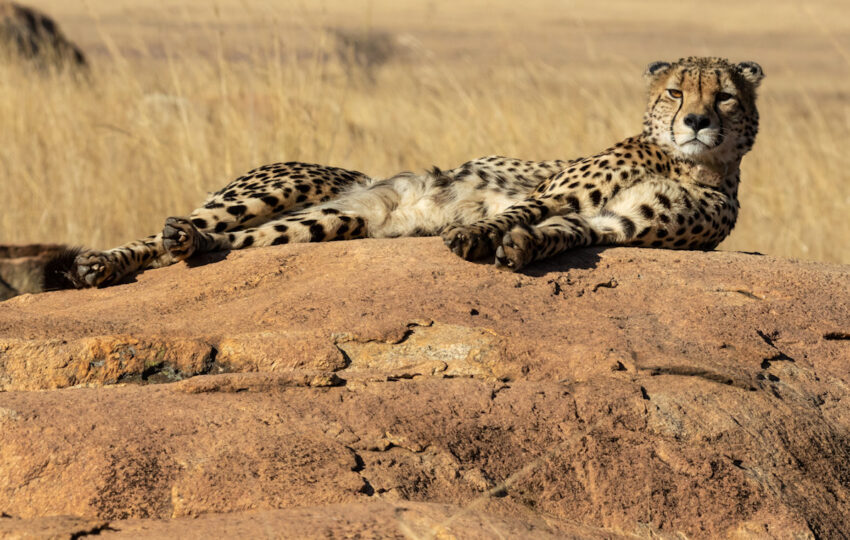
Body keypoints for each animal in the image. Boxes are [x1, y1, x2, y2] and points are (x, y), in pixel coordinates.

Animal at [46, 56, 760, 292]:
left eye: (725, 96)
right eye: (676, 91)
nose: (697, 121)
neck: (688, 164)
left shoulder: (615, 225)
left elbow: (565, 234)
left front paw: (522, 250)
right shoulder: (554, 190)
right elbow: (520, 209)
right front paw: (477, 237)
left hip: (323, 222)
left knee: (215, 243)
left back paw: (185, 248)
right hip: (282, 186)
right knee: (168, 230)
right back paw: (100, 263)